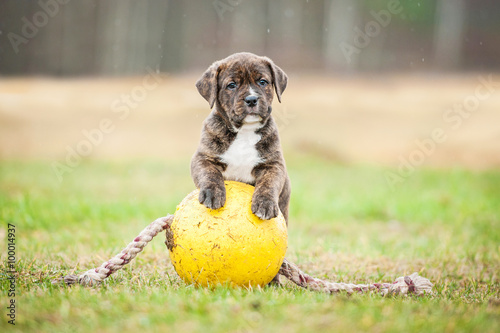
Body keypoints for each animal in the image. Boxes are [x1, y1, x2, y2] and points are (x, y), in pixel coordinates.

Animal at [192, 52, 292, 222]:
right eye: (232, 85)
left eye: (262, 82)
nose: (251, 99)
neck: (245, 131)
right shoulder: (203, 158)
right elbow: (210, 173)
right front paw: (212, 193)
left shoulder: (274, 164)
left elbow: (269, 183)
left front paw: (265, 203)